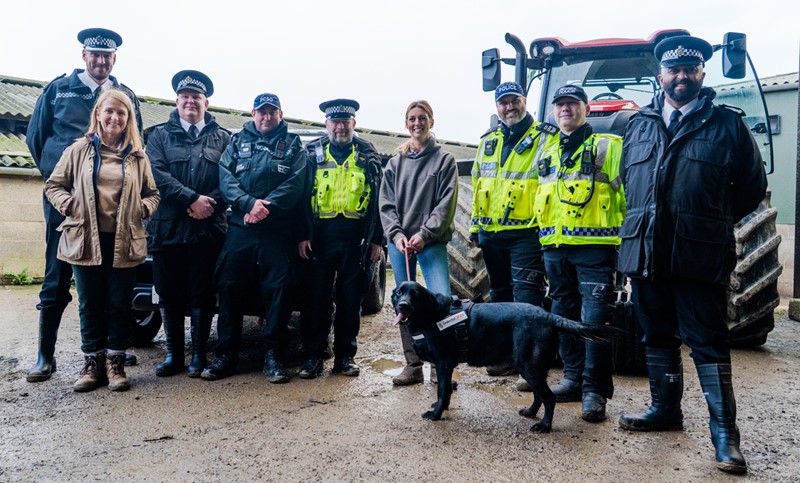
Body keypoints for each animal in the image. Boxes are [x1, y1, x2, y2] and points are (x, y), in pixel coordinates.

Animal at [390, 282, 616, 432]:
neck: (432, 315)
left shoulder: (444, 364)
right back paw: (530, 413)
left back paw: (544, 426)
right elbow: (443, 393)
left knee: (549, 397)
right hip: (532, 367)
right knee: (539, 395)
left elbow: (443, 391)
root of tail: (547, 315)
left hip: (530, 367)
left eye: (415, 294)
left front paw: (436, 414)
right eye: (399, 292)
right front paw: (439, 408)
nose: (403, 305)